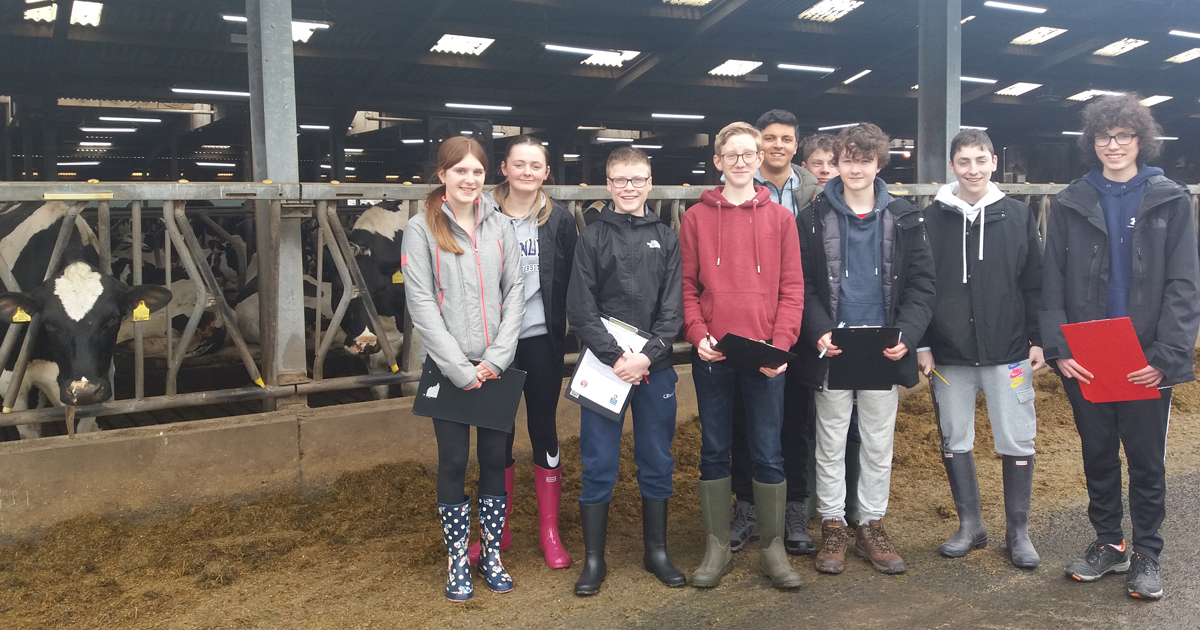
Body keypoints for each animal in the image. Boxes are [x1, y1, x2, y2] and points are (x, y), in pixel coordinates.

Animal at [0, 201, 172, 438]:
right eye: (48, 323)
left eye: (113, 318)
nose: (84, 391)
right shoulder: (10, 382)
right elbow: (29, 432)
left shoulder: (102, 376)